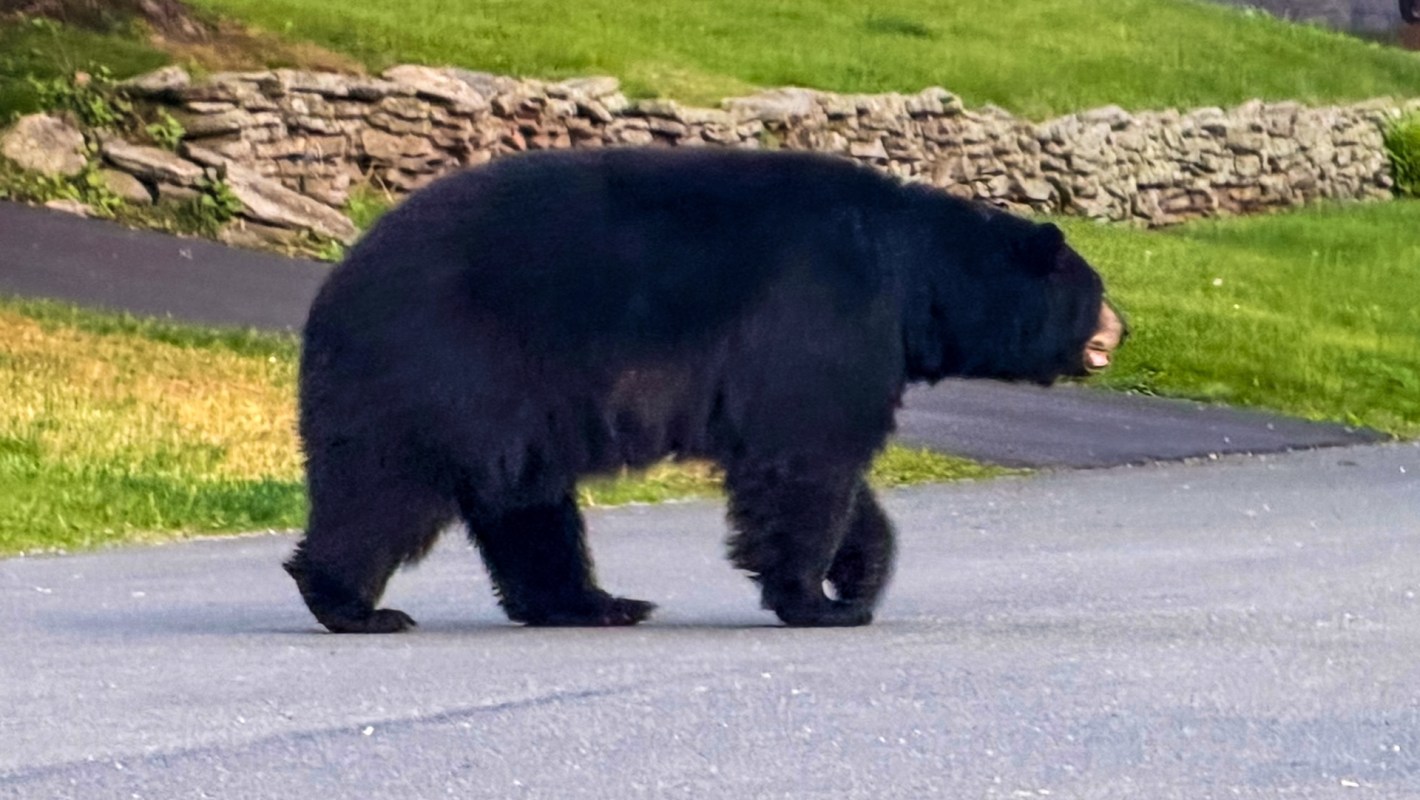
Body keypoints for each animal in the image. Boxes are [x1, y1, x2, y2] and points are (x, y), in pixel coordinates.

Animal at [285, 146, 1123, 633]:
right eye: (1097, 289)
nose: (1122, 327)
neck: (917, 279)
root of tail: (335, 285)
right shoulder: (829, 311)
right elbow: (808, 456)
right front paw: (816, 601)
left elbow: (813, 463)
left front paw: (856, 576)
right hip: (440, 368)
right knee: (389, 487)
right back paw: (350, 603)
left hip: (515, 406)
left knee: (527, 503)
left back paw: (592, 604)